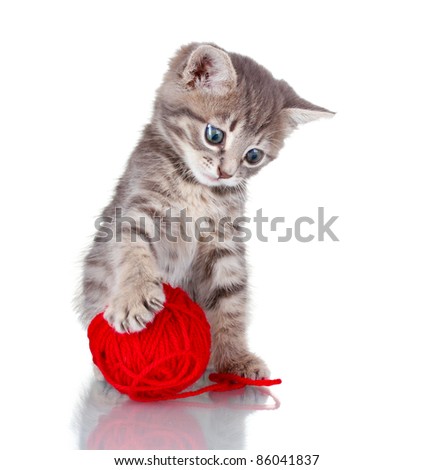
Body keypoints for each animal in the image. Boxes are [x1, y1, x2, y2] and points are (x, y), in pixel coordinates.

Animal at [78, 43, 332, 378]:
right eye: (215, 135)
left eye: (253, 155)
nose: (226, 173)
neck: (195, 188)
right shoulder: (137, 209)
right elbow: (131, 251)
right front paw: (135, 297)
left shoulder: (224, 240)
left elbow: (230, 298)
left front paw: (234, 358)